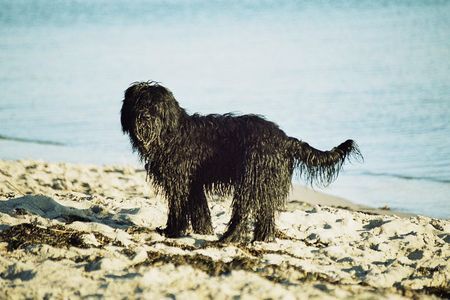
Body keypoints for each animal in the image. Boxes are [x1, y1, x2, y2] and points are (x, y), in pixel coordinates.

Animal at [120, 82, 362, 244]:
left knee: (244, 211)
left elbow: (178, 208)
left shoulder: (180, 182)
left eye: (155, 106)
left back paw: (229, 238)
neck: (171, 134)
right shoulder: (193, 183)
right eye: (138, 103)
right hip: (265, 182)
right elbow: (200, 210)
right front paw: (203, 231)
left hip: (251, 178)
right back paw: (262, 239)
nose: (144, 117)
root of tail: (284, 138)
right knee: (265, 213)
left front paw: (172, 231)